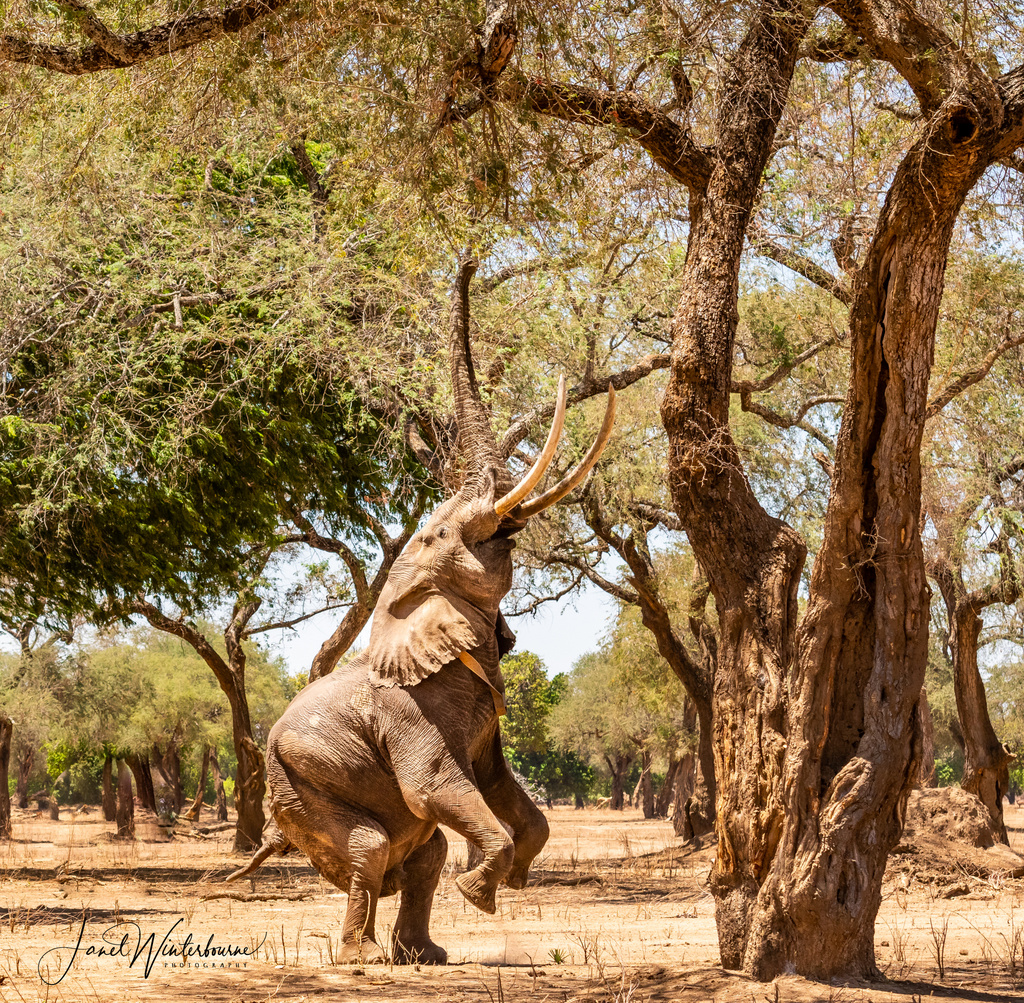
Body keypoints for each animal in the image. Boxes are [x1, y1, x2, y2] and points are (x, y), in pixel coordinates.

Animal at [230, 259, 614, 963]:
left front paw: (511, 880)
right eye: (437, 535)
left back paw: (420, 956)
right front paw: (480, 894)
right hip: (300, 785)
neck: (405, 602)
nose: (466, 259)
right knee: (372, 846)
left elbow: (500, 787)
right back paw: (359, 958)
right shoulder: (411, 715)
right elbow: (435, 786)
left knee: (424, 851)